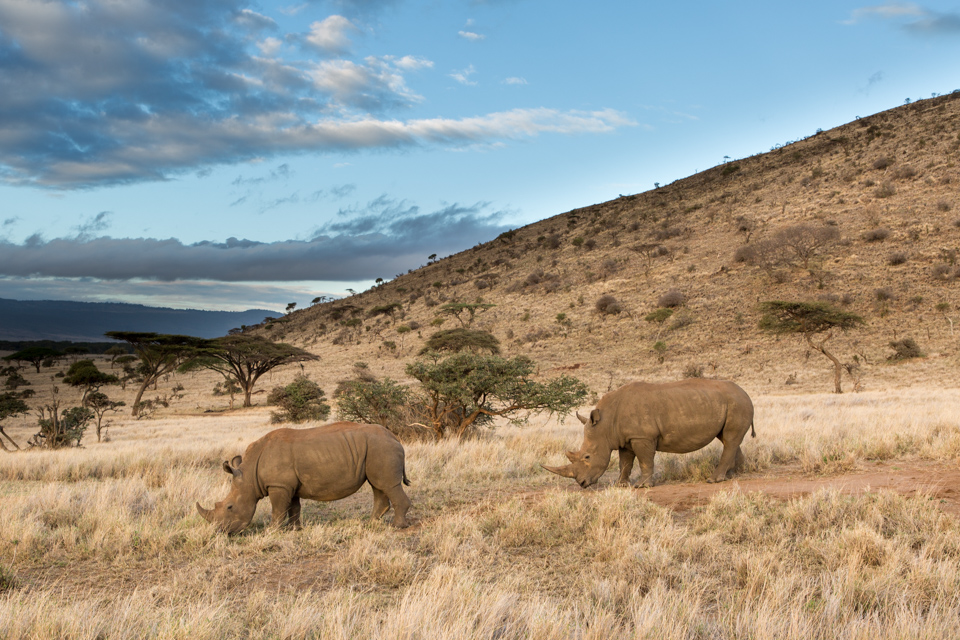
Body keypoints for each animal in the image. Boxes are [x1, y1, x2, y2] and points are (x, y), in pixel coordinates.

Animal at [196, 422, 411, 533]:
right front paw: (294, 529)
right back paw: (371, 524)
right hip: (376, 449)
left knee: (388, 485)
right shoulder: (287, 485)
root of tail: (394, 437)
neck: (249, 475)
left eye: (229, 507)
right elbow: (293, 508)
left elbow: (278, 509)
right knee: (378, 485)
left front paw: (271, 531)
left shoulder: (278, 485)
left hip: (381, 448)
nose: (219, 531)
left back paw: (397, 526)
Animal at [543, 379, 755, 488]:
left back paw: (714, 480)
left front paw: (642, 486)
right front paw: (621, 485)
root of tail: (746, 393)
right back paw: (735, 474)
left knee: (730, 439)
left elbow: (645, 461)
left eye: (587, 456)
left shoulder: (642, 436)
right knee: (729, 439)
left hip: (737, 403)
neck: (605, 423)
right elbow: (625, 463)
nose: (582, 483)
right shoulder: (625, 438)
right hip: (728, 403)